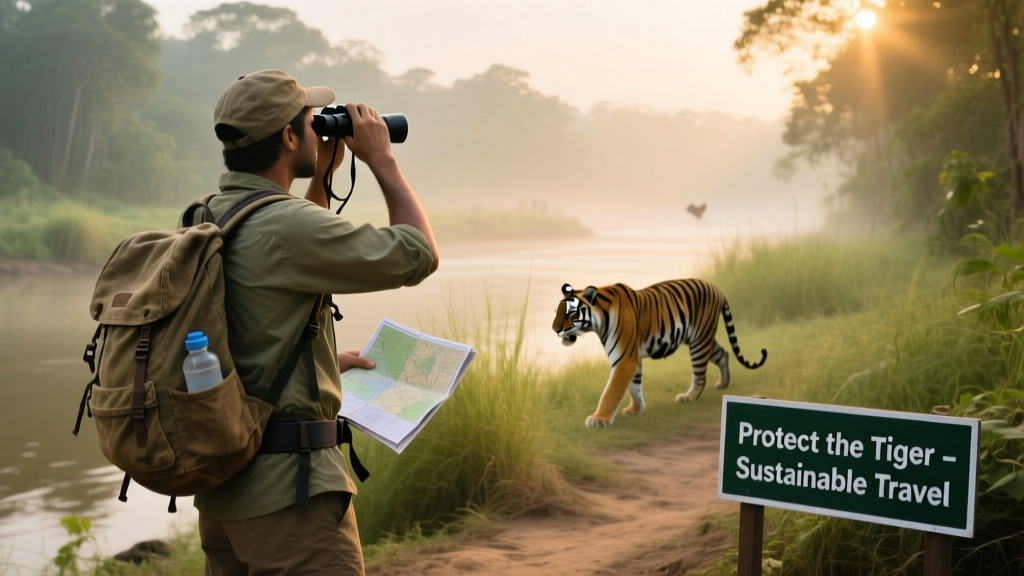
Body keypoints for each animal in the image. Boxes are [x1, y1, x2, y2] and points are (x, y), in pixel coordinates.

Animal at [552, 279, 767, 428]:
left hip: (699, 342)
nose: (554, 329)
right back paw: (723, 383)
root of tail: (717, 289)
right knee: (724, 354)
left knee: (700, 375)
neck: (599, 322)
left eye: (571, 313)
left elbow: (611, 391)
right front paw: (636, 408)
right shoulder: (633, 357)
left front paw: (599, 419)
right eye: (557, 311)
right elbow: (634, 386)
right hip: (704, 339)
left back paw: (688, 397)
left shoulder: (624, 360)